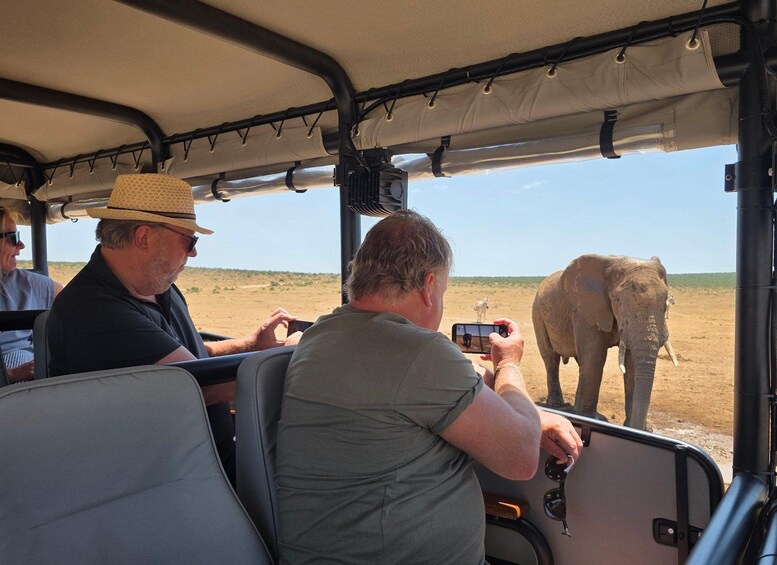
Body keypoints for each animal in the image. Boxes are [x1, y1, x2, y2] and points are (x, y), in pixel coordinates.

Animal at [532, 254, 679, 430]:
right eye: (618, 300)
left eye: (665, 303)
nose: (644, 428)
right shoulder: (585, 309)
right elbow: (595, 357)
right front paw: (590, 418)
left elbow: (631, 364)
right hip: (538, 314)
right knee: (551, 359)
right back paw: (558, 405)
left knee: (580, 363)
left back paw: (576, 409)